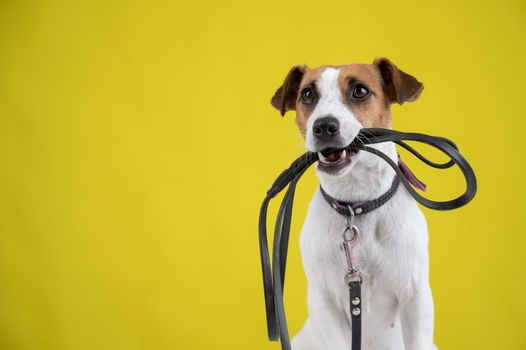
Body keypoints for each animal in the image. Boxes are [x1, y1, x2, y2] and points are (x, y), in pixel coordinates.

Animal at [272, 58, 438, 348]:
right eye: (307, 94)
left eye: (360, 91)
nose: (323, 126)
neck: (356, 203)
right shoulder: (325, 301)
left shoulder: (415, 296)